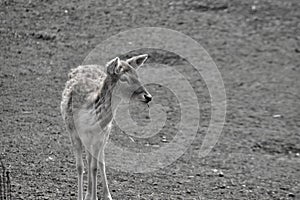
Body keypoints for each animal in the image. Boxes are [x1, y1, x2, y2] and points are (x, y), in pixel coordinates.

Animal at [60, 54, 152, 199]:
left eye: (137, 75)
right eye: (123, 79)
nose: (148, 96)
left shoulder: (100, 136)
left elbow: (95, 167)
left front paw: (95, 197)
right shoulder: (73, 133)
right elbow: (80, 167)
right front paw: (81, 196)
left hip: (105, 135)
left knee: (100, 162)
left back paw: (106, 195)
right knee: (89, 159)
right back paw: (87, 194)